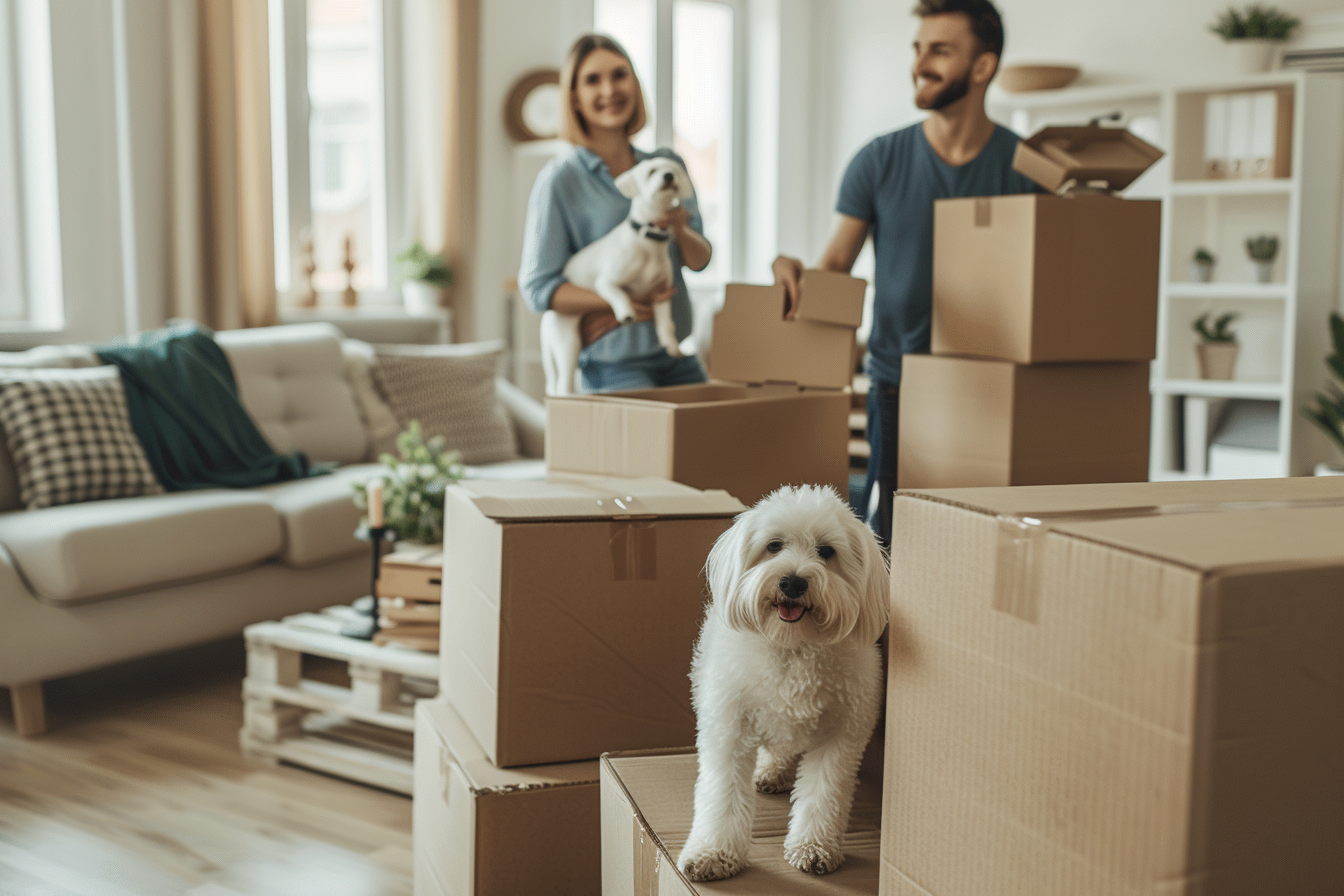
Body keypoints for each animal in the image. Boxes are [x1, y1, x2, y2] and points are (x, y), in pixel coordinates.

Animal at [542, 155, 698, 394]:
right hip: (567, 342)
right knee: (562, 384)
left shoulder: (662, 293)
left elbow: (666, 324)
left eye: (673, 169)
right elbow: (620, 295)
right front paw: (626, 313)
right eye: (652, 172)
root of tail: (546, 319)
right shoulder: (606, 283)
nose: (669, 176)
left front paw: (671, 344)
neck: (649, 241)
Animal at [677, 486, 887, 881]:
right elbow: (722, 794)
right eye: (774, 545)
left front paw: (814, 846)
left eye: (826, 551)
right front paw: (714, 851)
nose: (793, 582)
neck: (793, 647)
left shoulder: (840, 735)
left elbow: (823, 793)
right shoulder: (729, 727)